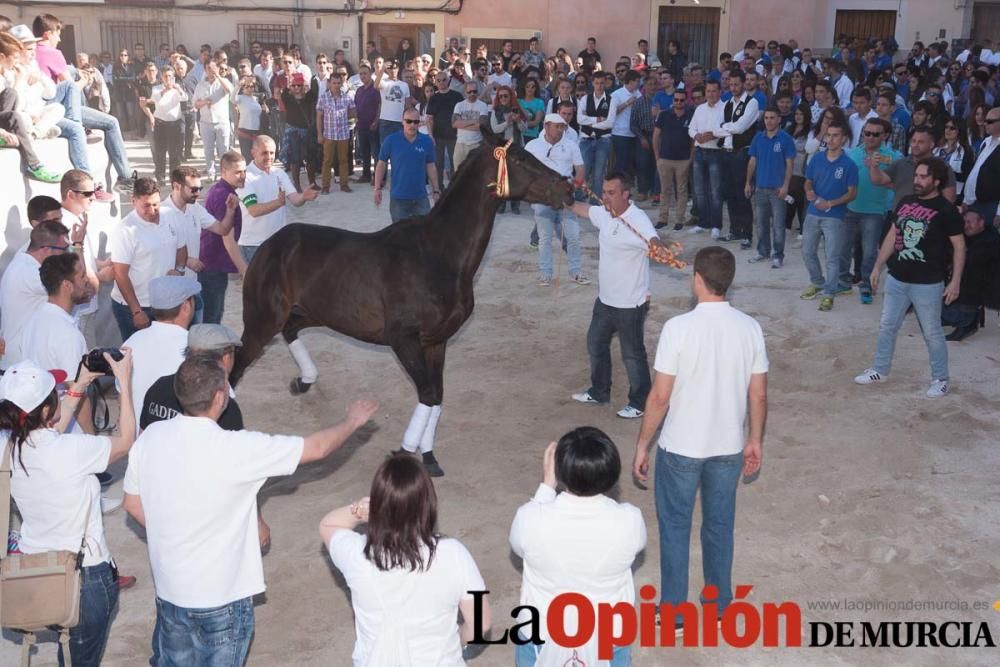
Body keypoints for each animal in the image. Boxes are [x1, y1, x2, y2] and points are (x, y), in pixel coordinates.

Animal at [229, 132, 572, 474]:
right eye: (519, 160)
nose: (567, 188)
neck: (437, 254)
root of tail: (269, 245)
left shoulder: (436, 341)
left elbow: (436, 395)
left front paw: (430, 457)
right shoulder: (403, 339)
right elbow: (428, 394)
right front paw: (405, 451)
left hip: (312, 313)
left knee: (290, 330)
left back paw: (304, 380)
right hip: (262, 321)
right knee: (236, 365)